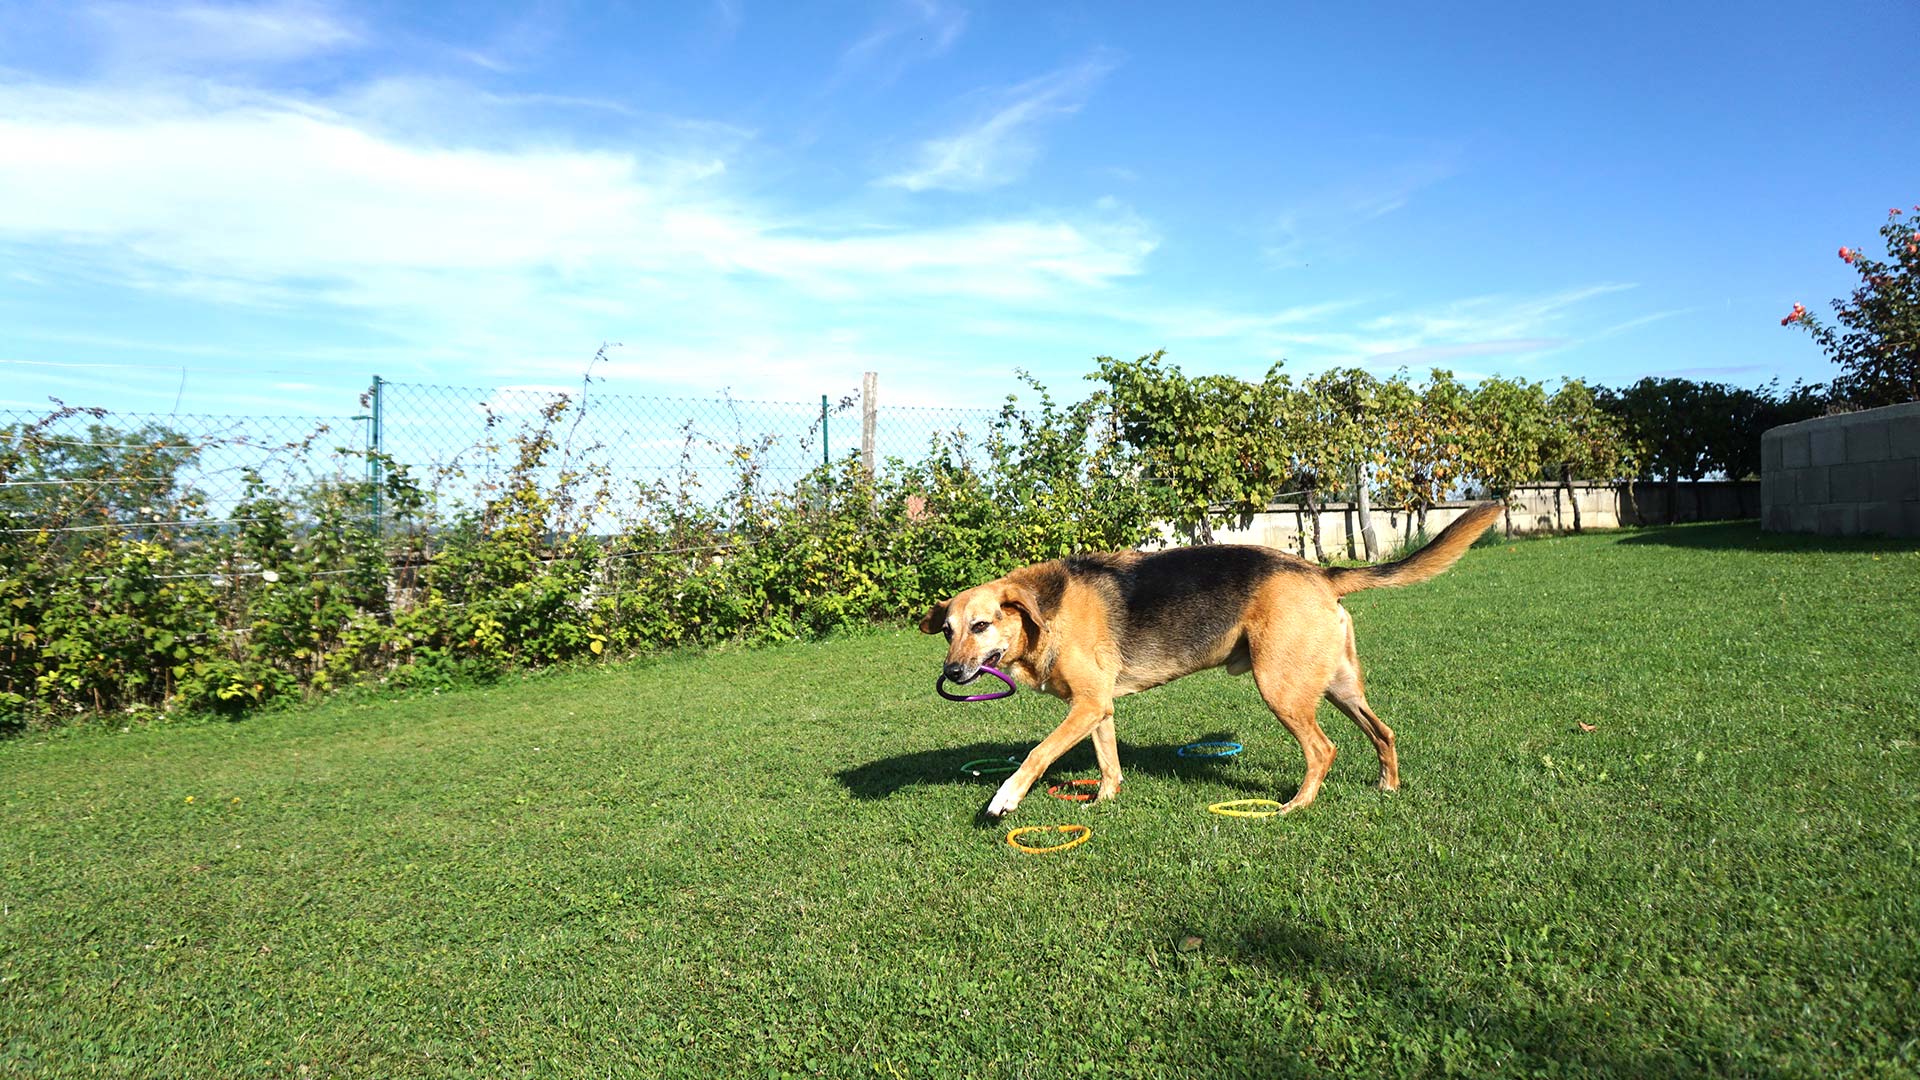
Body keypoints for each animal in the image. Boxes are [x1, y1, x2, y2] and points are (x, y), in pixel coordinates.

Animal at [921, 503, 1505, 814]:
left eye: (980, 626)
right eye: (947, 631)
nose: (952, 673)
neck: (1047, 611)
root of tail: (1320, 573)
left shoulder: (1085, 707)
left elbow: (1037, 754)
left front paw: (1005, 797)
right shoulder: (1097, 708)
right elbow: (1108, 762)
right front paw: (1105, 800)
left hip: (1281, 688)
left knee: (1323, 749)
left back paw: (1296, 807)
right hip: (1338, 687)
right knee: (1382, 732)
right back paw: (1387, 786)